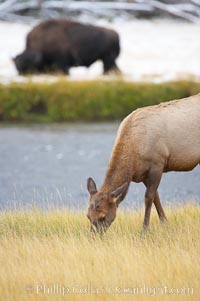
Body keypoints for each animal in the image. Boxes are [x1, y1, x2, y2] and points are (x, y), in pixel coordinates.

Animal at [86, 92, 200, 233]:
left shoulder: (157, 164)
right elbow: (156, 197)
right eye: (88, 216)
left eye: (103, 216)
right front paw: (165, 223)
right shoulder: (143, 174)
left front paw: (144, 230)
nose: (93, 235)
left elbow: (148, 198)